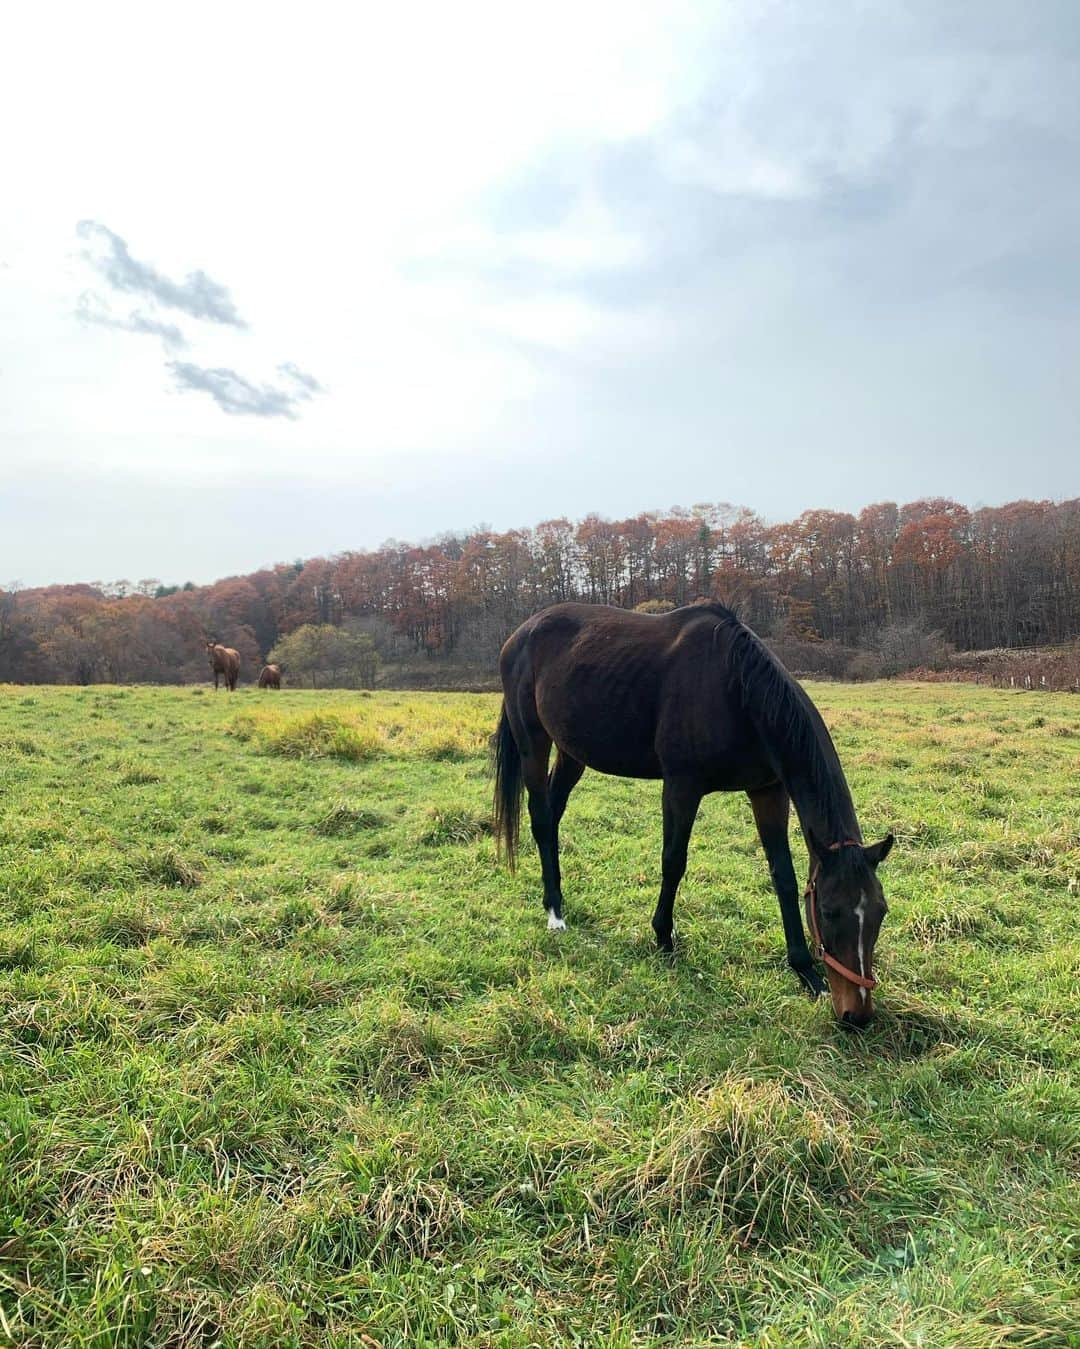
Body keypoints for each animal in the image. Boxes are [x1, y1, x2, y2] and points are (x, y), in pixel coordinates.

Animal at [496, 601, 895, 1019]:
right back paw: (554, 911)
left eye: (881, 911)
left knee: (554, 815)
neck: (739, 692)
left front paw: (804, 969)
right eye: (830, 911)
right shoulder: (682, 786)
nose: (857, 1015)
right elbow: (673, 861)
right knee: (542, 819)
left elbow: (782, 875)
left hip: (572, 752)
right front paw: (663, 936)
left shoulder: (768, 791)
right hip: (533, 742)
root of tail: (520, 635)